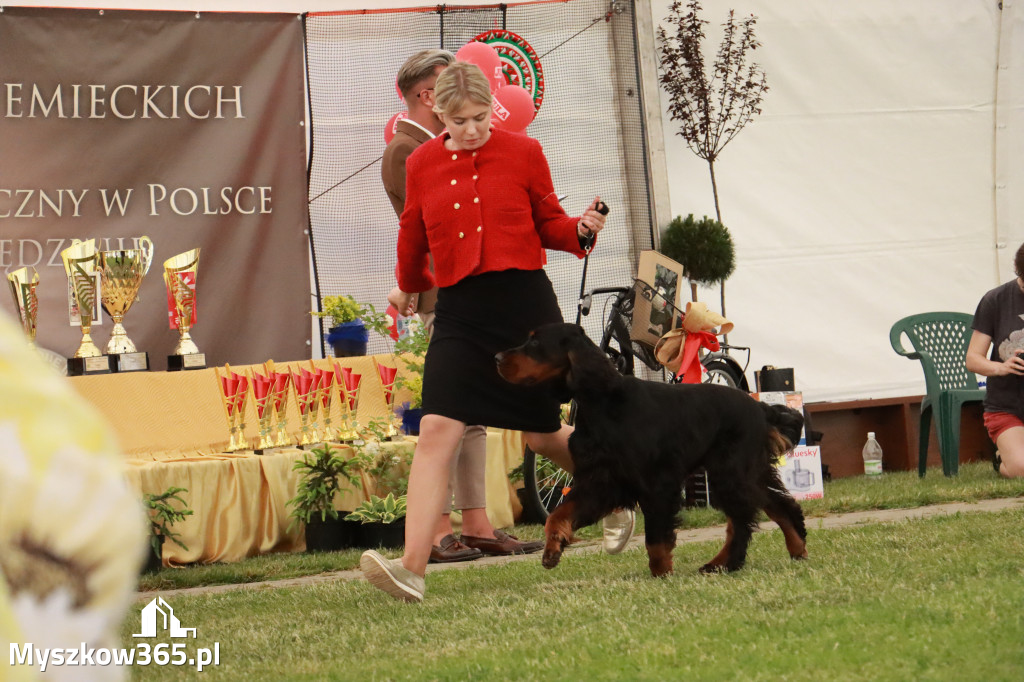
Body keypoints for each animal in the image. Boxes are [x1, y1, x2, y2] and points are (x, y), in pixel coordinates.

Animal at [495, 323, 806, 573]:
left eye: (535, 342)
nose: (496, 358)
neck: (604, 404)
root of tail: (760, 408)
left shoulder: (656, 482)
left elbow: (655, 538)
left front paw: (661, 573)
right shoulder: (600, 482)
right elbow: (558, 514)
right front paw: (552, 549)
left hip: (732, 472)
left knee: (743, 520)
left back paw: (725, 564)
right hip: (744, 472)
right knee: (778, 506)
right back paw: (795, 550)